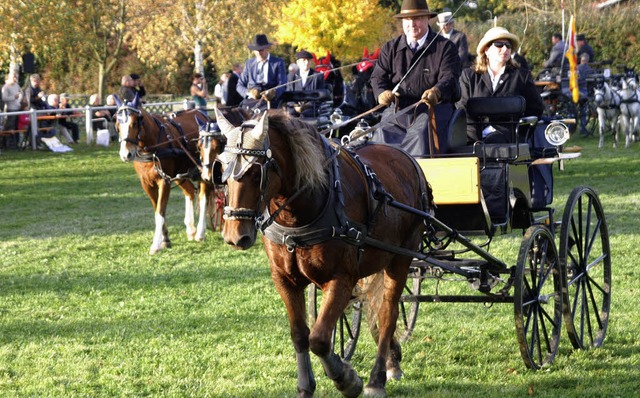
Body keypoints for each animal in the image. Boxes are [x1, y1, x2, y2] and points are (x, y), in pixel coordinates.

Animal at [116, 95, 211, 253]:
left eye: (135, 122)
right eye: (117, 124)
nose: (126, 154)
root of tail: (203, 115)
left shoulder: (164, 181)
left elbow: (160, 212)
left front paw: (155, 244)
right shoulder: (146, 184)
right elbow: (157, 210)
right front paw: (165, 240)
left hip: (203, 170)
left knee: (204, 198)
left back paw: (200, 233)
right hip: (180, 173)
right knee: (190, 192)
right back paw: (191, 229)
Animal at [208, 107, 432, 396]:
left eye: (256, 173)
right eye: (221, 172)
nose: (235, 236)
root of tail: (408, 160)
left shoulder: (341, 279)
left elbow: (320, 338)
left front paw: (347, 379)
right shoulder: (285, 280)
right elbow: (300, 334)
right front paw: (306, 386)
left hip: (401, 257)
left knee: (388, 313)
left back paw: (377, 378)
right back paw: (392, 361)